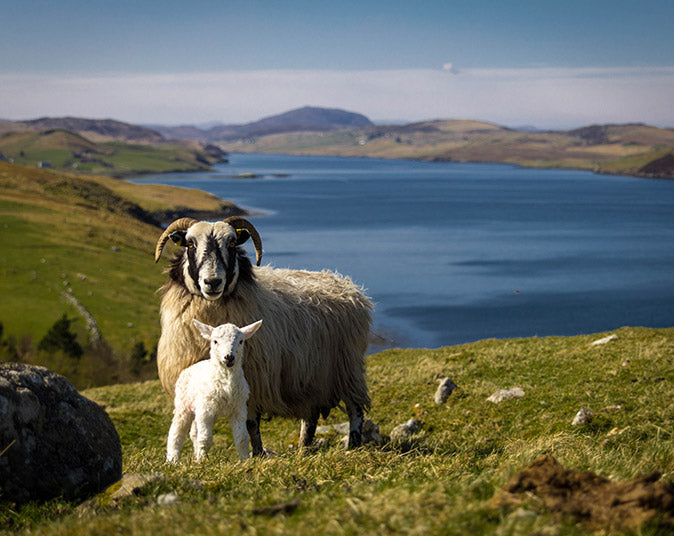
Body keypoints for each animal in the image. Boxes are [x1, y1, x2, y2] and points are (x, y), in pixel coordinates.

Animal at [167, 316, 262, 462]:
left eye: (241, 341)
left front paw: (245, 461)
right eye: (215, 341)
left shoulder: (239, 408)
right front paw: (202, 462)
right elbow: (205, 439)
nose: (229, 357)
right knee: (177, 432)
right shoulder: (206, 410)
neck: (226, 383)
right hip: (183, 404)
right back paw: (172, 460)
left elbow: (242, 438)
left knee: (194, 432)